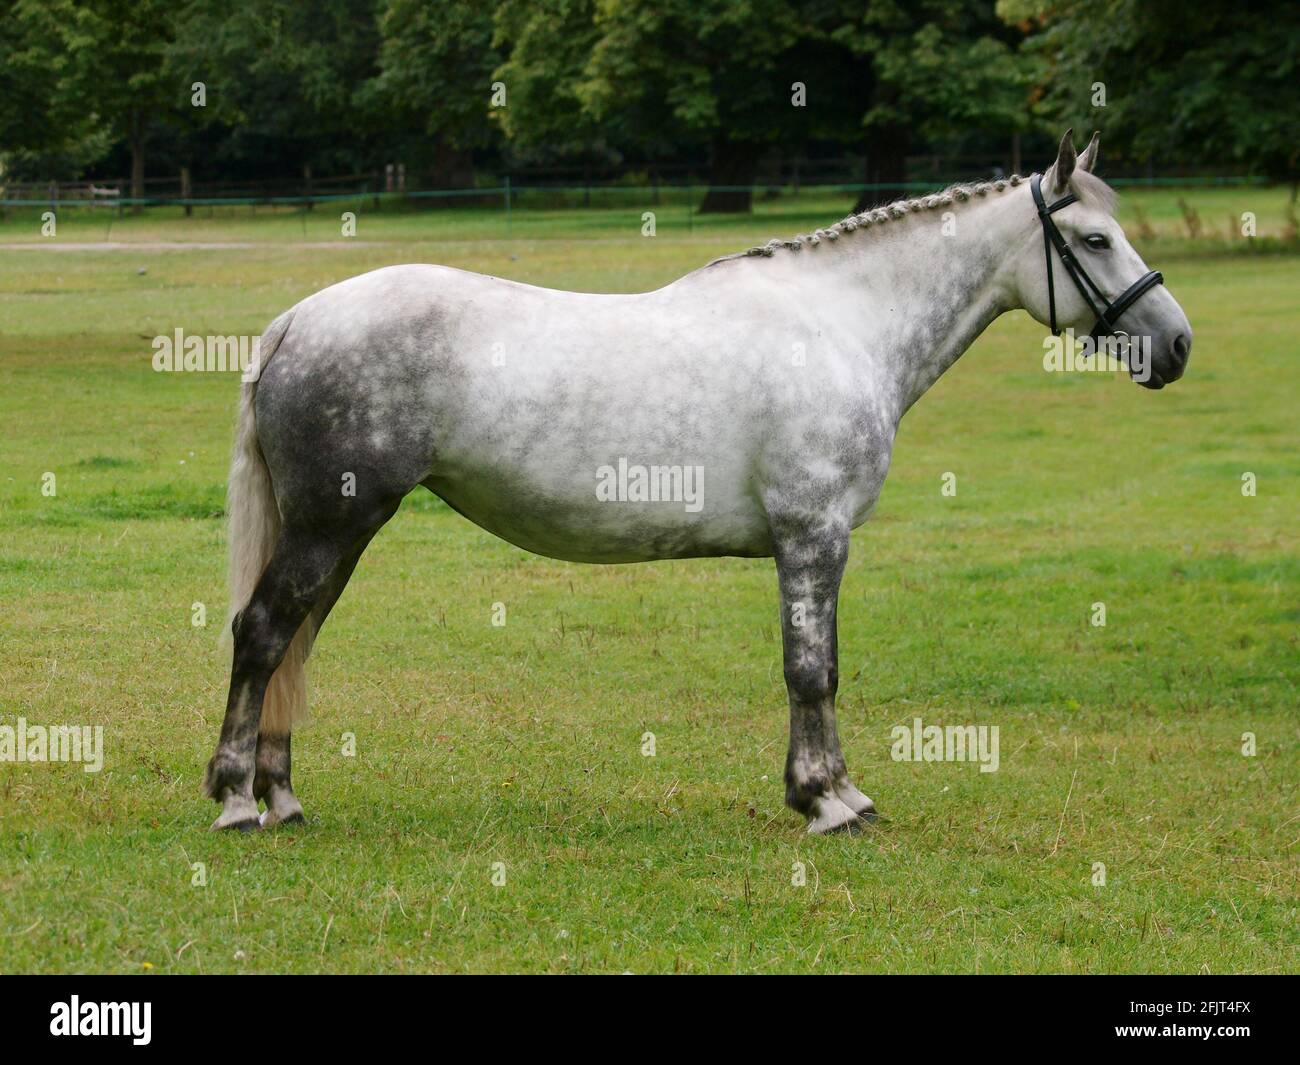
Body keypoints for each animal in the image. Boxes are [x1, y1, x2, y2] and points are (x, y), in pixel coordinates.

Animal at [208, 131, 1190, 832]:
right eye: (1094, 238)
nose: (1176, 344)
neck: (840, 323)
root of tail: (298, 319)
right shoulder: (812, 535)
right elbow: (810, 669)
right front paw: (827, 800)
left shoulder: (817, 542)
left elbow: (824, 667)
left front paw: (839, 792)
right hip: (330, 526)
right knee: (263, 635)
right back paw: (237, 799)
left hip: (339, 532)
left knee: (296, 643)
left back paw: (282, 794)